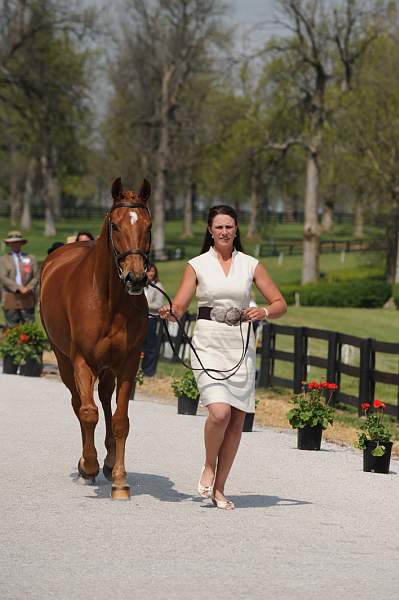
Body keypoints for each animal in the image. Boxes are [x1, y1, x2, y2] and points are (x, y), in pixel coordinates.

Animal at [40, 178, 152, 496]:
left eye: (149, 225)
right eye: (115, 225)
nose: (136, 278)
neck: (109, 300)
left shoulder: (128, 364)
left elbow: (120, 420)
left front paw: (120, 479)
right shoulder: (82, 361)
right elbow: (88, 412)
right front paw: (88, 466)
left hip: (108, 368)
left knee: (104, 399)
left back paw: (109, 461)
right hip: (64, 360)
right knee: (79, 404)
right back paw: (87, 465)